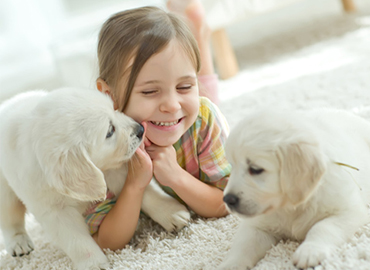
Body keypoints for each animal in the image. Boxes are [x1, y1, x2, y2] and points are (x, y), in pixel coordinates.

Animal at [218, 108, 370, 268]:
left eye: (255, 169)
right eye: (232, 166)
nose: (227, 199)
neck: (290, 206)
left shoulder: (349, 211)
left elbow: (323, 226)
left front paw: (310, 251)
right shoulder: (257, 225)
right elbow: (244, 244)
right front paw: (231, 264)